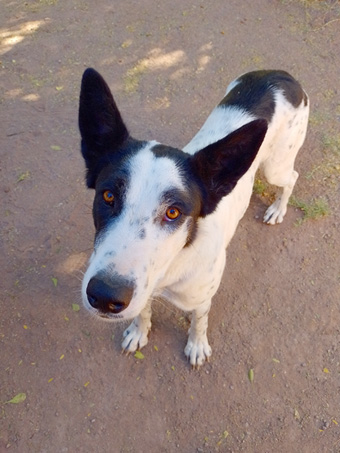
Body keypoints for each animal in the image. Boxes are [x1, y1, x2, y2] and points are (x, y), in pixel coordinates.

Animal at [78, 69, 310, 368]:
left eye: (173, 212)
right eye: (108, 196)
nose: (106, 297)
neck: (170, 269)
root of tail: (282, 75)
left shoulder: (201, 299)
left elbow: (199, 322)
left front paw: (197, 345)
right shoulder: (144, 290)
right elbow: (143, 311)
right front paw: (139, 331)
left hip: (275, 167)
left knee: (291, 177)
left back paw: (278, 209)